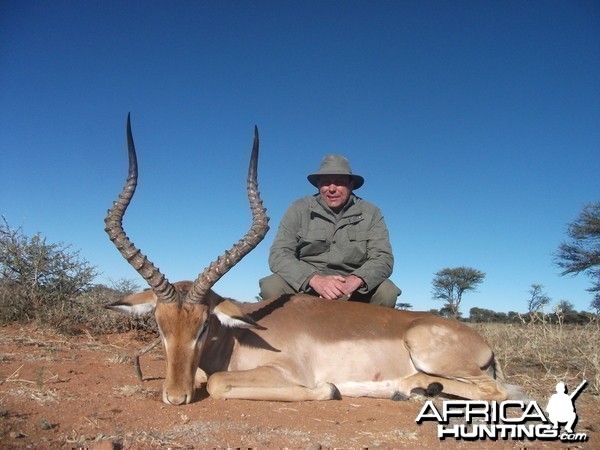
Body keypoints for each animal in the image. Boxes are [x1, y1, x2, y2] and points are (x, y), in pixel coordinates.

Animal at [106, 116, 520, 404]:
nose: (175, 397)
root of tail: (480, 340)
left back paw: (409, 388)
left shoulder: (284, 372)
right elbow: (207, 377)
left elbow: (220, 382)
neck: (238, 338)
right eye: (160, 326)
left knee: (497, 391)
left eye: (205, 325)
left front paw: (329, 389)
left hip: (429, 352)